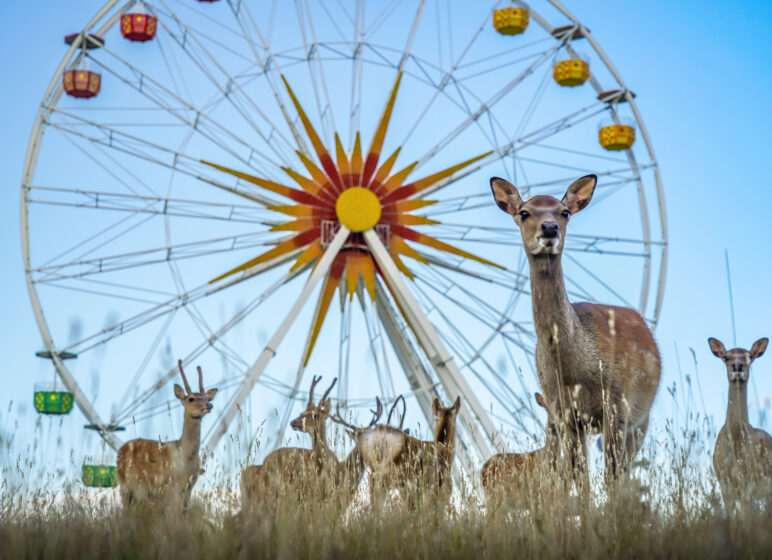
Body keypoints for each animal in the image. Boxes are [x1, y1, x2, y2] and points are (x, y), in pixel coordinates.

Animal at [115, 358, 217, 512]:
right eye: (191, 398)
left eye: (207, 397)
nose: (209, 405)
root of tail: (120, 450)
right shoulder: (170, 487)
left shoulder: (189, 486)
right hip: (126, 486)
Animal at [492, 173, 660, 484]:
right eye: (524, 212)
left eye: (564, 212)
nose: (549, 227)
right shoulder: (566, 415)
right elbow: (580, 479)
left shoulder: (616, 407)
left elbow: (611, 478)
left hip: (642, 419)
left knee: (625, 473)